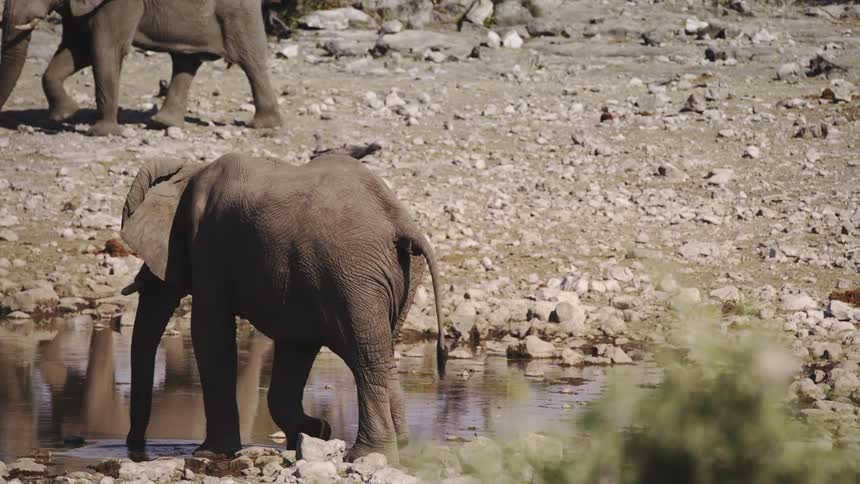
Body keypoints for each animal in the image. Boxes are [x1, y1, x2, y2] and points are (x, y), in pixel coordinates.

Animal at [0, 0, 283, 136]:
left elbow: (105, 51)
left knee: (251, 60)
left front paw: (101, 133)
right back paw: (162, 123)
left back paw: (263, 125)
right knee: (186, 61)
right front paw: (64, 115)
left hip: (237, 13)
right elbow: (75, 50)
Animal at [119, 153, 447, 462]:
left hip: (353, 274)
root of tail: (399, 221)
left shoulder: (209, 247)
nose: (134, 446)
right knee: (383, 353)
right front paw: (316, 431)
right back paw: (399, 447)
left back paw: (367, 454)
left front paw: (211, 453)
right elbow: (295, 343)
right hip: (392, 273)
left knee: (365, 355)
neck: (189, 170)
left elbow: (209, 331)